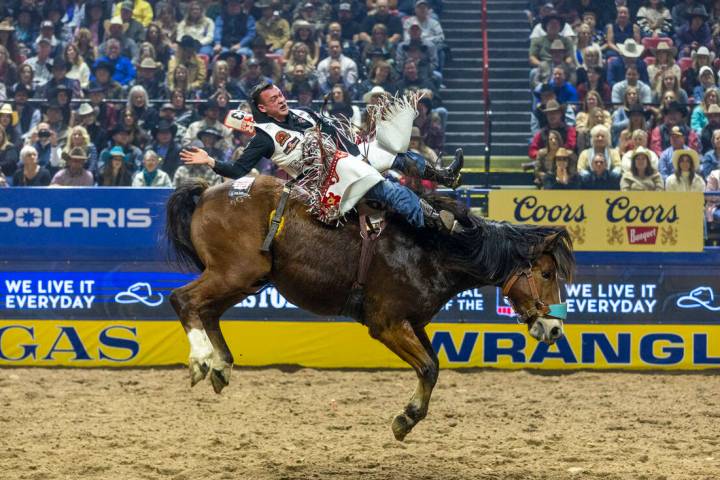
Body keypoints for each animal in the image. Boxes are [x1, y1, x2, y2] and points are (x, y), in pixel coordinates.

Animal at [165, 175, 572, 438]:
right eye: (547, 273)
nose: (555, 328)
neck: (435, 247)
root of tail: (208, 192)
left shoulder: (414, 323)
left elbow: (434, 366)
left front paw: (409, 417)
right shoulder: (386, 322)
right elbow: (427, 367)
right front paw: (406, 419)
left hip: (246, 278)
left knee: (208, 310)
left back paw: (221, 365)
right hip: (235, 272)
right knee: (183, 300)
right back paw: (202, 360)